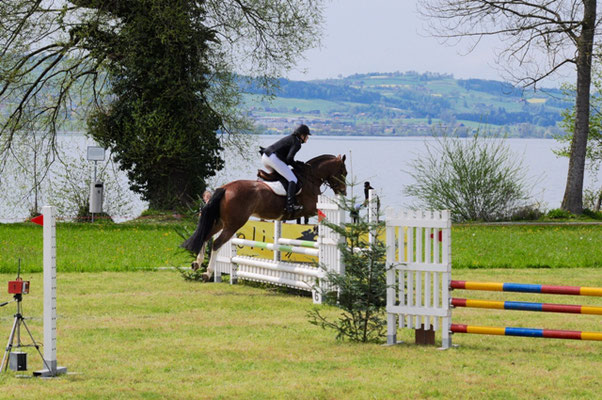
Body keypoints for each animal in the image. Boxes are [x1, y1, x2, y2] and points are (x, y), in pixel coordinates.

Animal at [180, 153, 344, 282]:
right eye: (344, 172)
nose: (344, 192)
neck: (310, 178)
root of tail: (225, 188)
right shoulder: (310, 209)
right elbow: (318, 217)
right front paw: (316, 229)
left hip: (221, 222)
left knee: (206, 236)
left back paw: (197, 263)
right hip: (234, 224)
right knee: (217, 243)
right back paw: (207, 273)